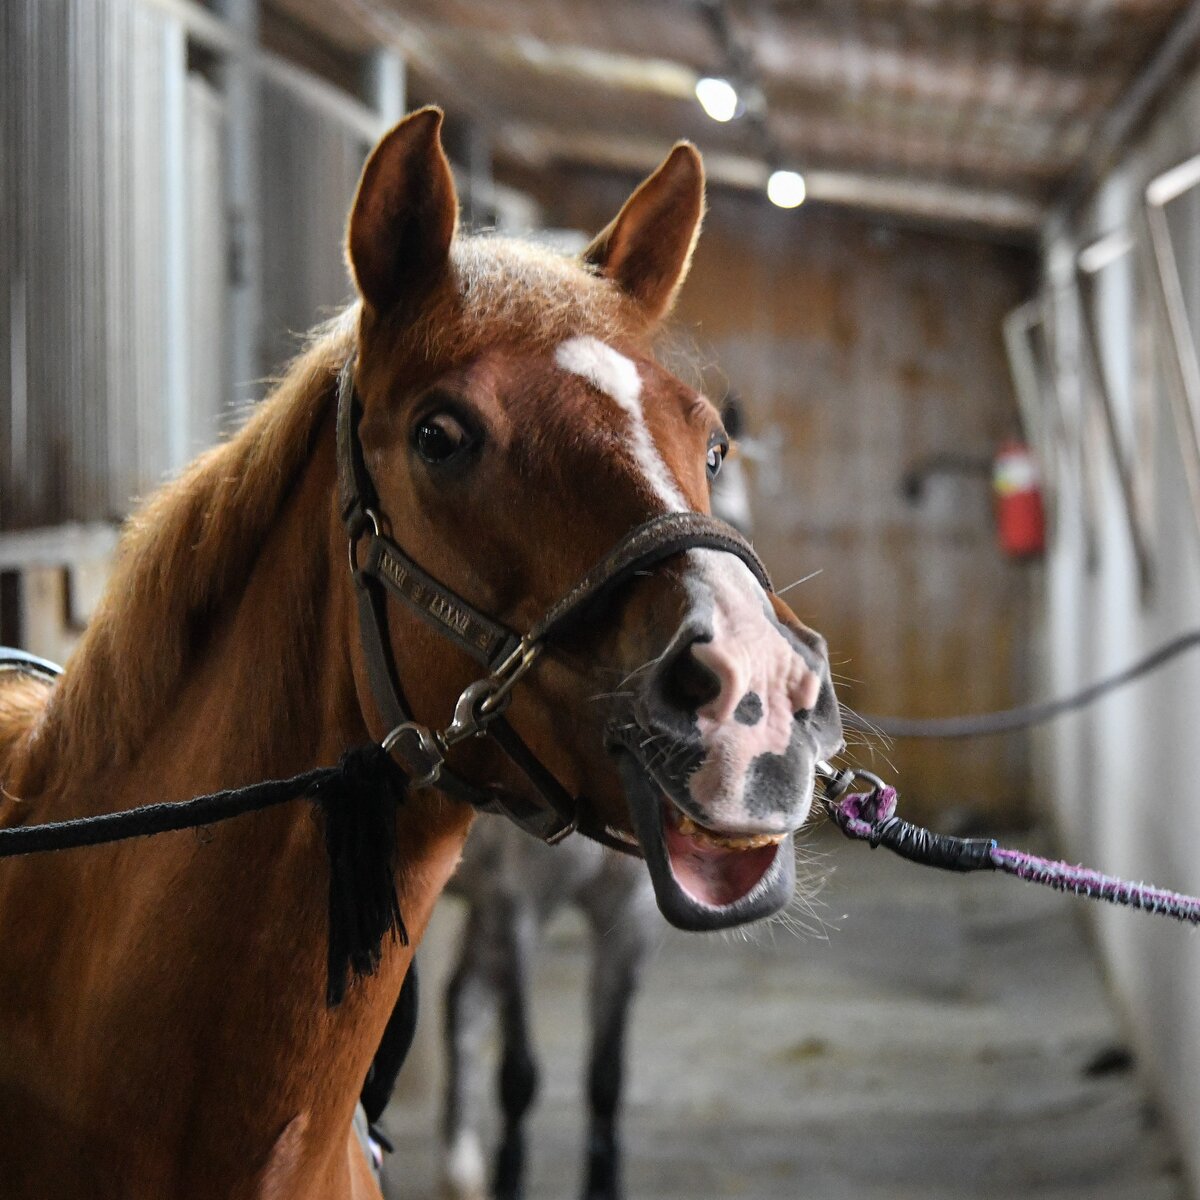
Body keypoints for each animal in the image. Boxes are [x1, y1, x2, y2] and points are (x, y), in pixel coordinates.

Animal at [436, 400, 753, 1200]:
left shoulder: (624, 918)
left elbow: (606, 1077)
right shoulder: (516, 906)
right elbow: (519, 1074)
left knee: (460, 1003)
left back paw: (460, 1169)